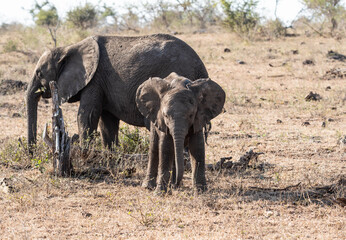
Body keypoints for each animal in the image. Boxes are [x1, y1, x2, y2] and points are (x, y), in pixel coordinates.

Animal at [26, 33, 208, 150]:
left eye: (39, 74)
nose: (32, 152)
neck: (69, 48)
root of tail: (201, 66)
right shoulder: (103, 83)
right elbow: (107, 121)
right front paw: (110, 155)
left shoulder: (94, 80)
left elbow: (87, 115)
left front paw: (85, 154)